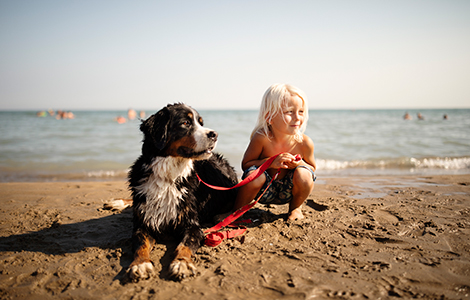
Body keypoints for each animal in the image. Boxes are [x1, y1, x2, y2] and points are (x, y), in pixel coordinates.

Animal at [110, 103, 239, 282]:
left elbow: (184, 246)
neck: (168, 176)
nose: (214, 134)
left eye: (201, 123)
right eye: (185, 123)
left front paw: (182, 263)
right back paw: (118, 202)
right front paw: (140, 264)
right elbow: (141, 245)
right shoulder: (143, 223)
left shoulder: (191, 225)